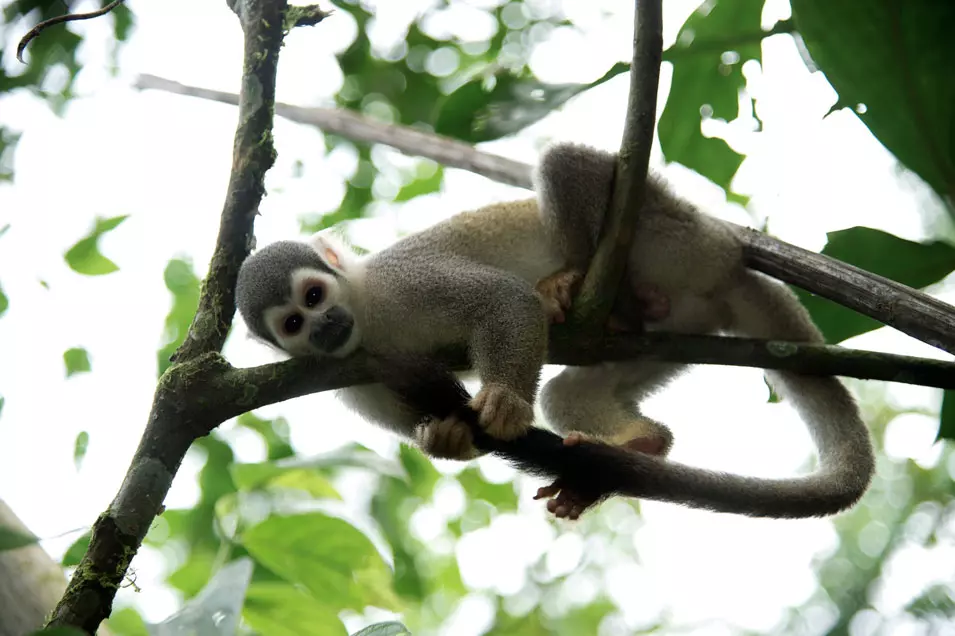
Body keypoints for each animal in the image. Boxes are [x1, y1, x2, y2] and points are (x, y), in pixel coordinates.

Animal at [233, 144, 872, 520]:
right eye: (294, 324)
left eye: (314, 296)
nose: (325, 327)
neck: (367, 315)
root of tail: (731, 264)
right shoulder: (350, 379)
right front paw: (447, 437)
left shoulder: (401, 285)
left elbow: (502, 300)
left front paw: (505, 403)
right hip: (683, 325)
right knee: (570, 393)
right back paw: (642, 442)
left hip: (678, 235)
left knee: (566, 165)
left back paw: (603, 298)